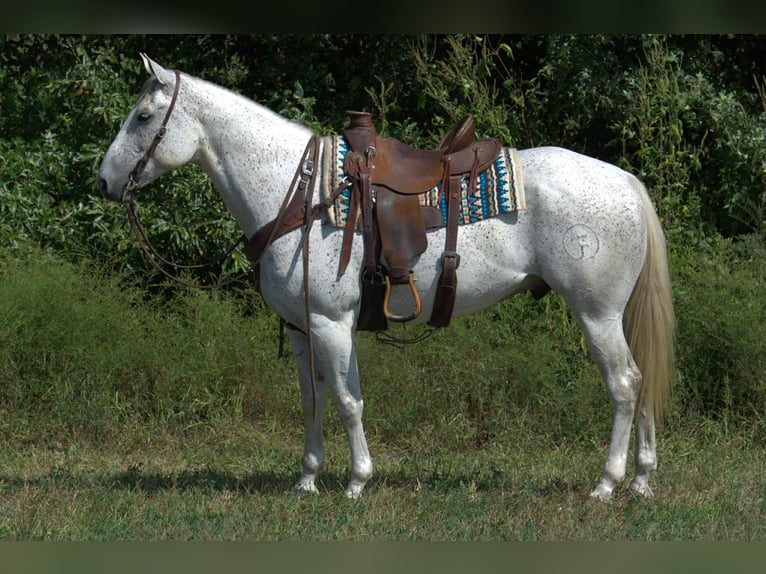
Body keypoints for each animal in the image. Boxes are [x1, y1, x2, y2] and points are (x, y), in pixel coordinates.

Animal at [98, 54, 675, 501]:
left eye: (144, 116)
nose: (103, 181)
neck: (300, 195)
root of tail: (626, 181)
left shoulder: (332, 323)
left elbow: (348, 401)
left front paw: (357, 481)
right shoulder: (303, 329)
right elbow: (313, 400)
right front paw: (307, 480)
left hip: (596, 312)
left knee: (625, 384)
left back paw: (607, 484)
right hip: (613, 315)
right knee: (644, 377)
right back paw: (642, 481)